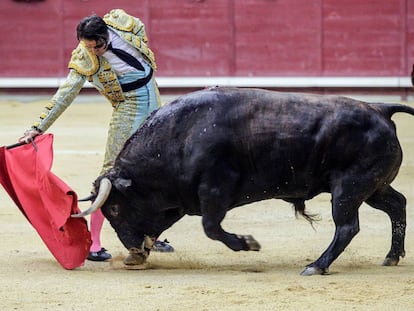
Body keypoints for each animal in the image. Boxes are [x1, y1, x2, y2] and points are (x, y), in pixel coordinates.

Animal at [73, 87, 414, 276]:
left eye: (115, 209)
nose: (132, 253)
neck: (177, 137)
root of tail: (381, 108)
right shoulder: (183, 200)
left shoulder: (214, 189)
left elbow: (211, 227)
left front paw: (248, 243)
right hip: (373, 187)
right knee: (397, 205)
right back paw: (391, 257)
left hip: (348, 188)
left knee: (347, 227)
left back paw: (317, 265)